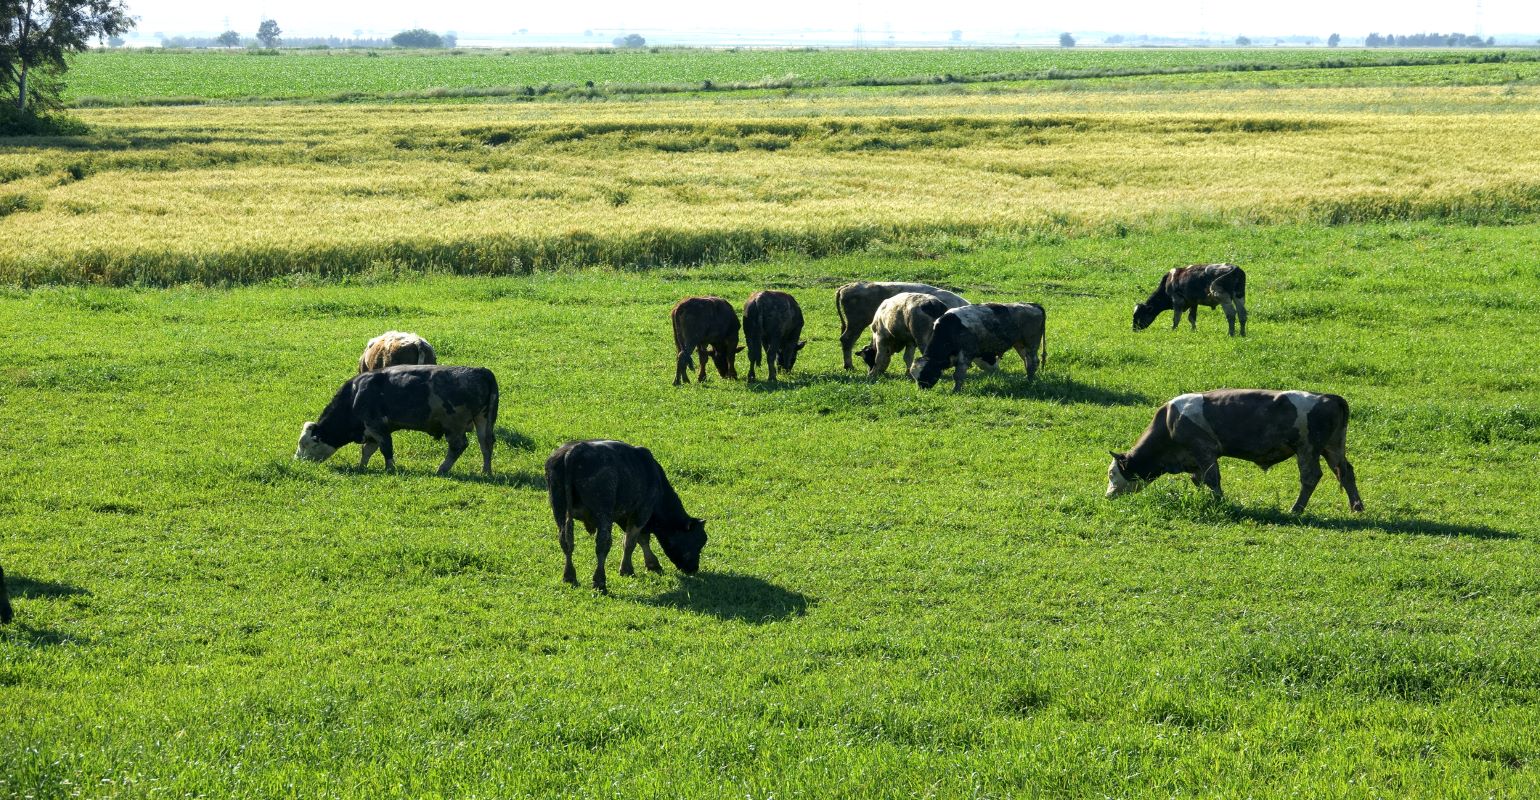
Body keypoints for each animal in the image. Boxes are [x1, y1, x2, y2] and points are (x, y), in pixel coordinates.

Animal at [294, 365, 498, 474]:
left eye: (304, 444)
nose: (297, 460)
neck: (356, 395)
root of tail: (481, 371)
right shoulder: (371, 431)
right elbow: (367, 450)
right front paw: (361, 467)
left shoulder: (377, 427)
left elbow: (386, 448)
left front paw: (390, 469)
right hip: (483, 421)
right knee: (485, 444)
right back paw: (486, 471)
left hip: (454, 427)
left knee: (458, 446)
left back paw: (441, 469)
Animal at [545, 437, 705, 594]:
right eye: (699, 542)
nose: (694, 568)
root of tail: (574, 449)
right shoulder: (642, 511)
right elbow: (632, 541)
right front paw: (629, 569)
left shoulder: (626, 516)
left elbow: (638, 539)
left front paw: (651, 564)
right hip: (603, 513)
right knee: (602, 543)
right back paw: (600, 582)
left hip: (559, 509)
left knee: (566, 541)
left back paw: (569, 577)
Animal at [911, 302, 1047, 393]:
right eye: (915, 376)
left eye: (926, 372)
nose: (922, 389)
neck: (950, 329)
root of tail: (1034, 305)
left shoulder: (965, 354)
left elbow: (958, 375)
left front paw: (956, 390)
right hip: (1019, 344)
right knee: (1027, 361)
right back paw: (1028, 379)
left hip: (1031, 343)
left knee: (1032, 362)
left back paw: (1029, 381)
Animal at [1102, 391, 1367, 517]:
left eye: (1112, 474)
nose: (1108, 496)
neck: (1169, 421)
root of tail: (1329, 397)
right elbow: (1199, 481)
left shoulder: (1205, 451)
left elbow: (1212, 479)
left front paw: (1219, 502)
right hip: (1332, 447)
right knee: (1346, 472)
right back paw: (1357, 507)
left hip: (1307, 448)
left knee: (1311, 476)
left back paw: (1296, 509)